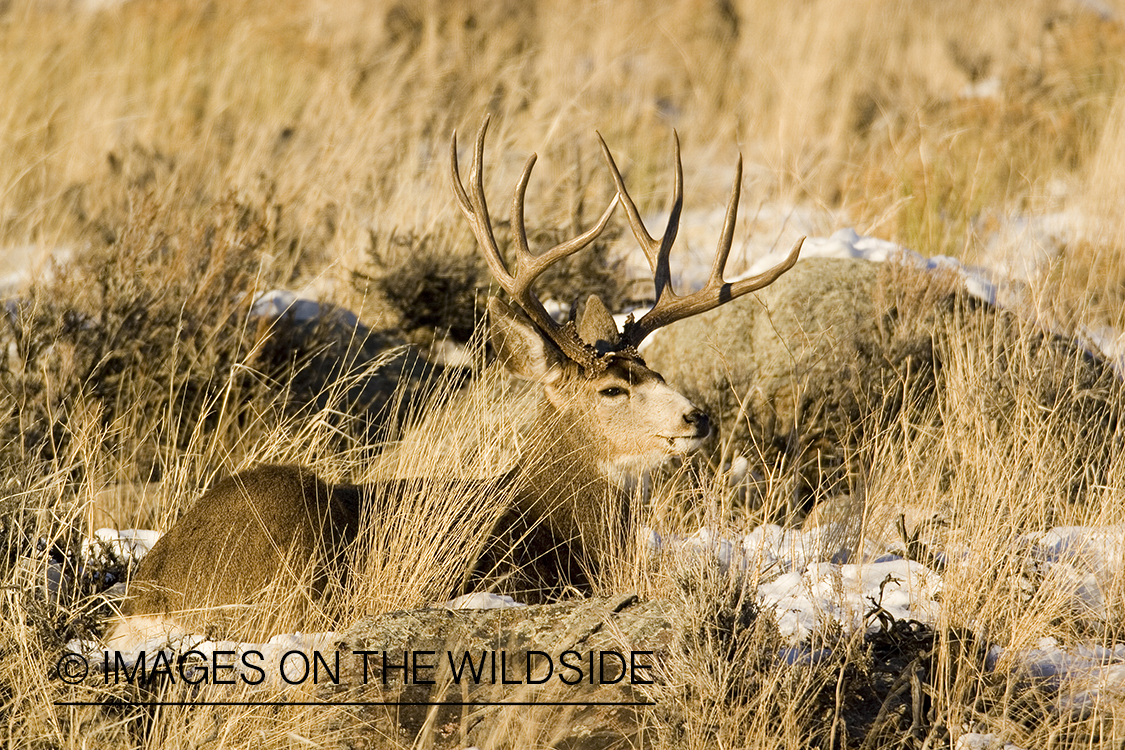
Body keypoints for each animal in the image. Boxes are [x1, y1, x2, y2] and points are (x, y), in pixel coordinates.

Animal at [107, 117, 801, 647]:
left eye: (655, 369)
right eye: (612, 390)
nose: (697, 417)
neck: (554, 519)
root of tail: (150, 590)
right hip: (291, 542)